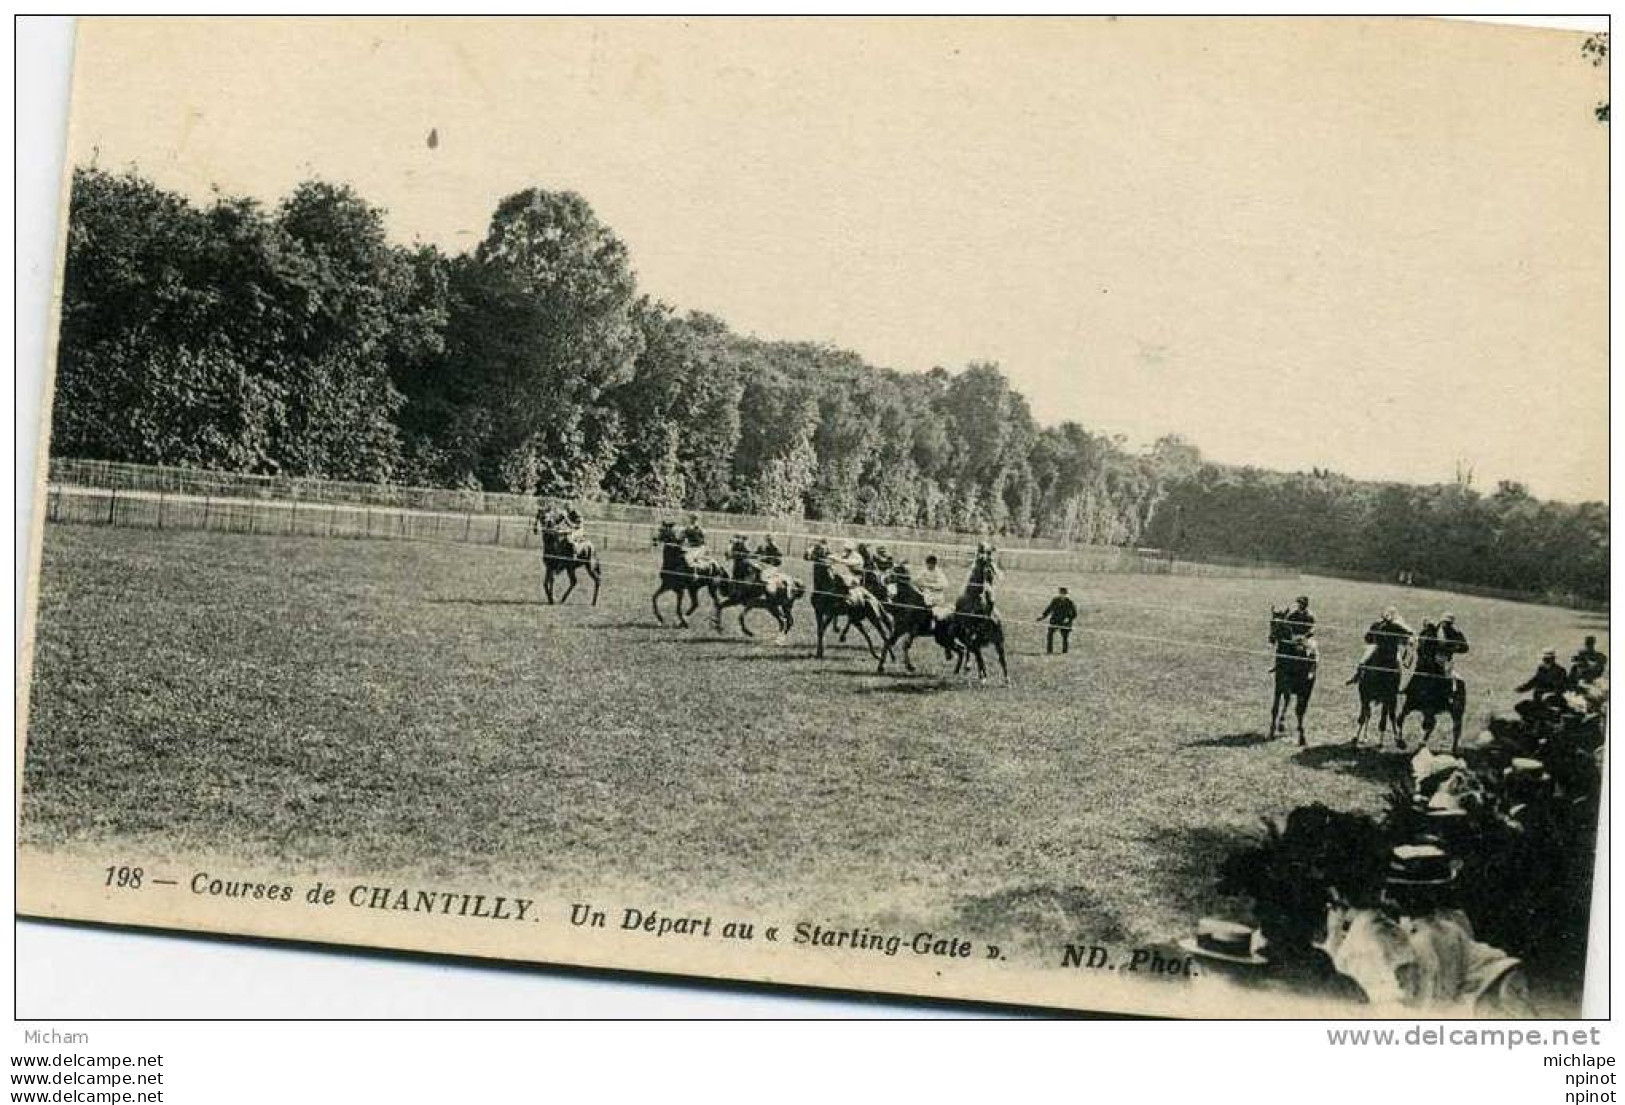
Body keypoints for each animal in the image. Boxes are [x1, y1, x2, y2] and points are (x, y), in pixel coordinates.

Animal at [1267, 607, 1319, 747]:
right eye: (1271, 622)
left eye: (1281, 623)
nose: (1271, 638)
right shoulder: (1280, 685)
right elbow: (1275, 707)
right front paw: (1272, 731)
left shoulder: (1302, 689)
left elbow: (1299, 710)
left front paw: (1302, 737)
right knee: (1289, 701)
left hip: (1306, 689)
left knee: (1301, 708)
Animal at [1391, 620, 1469, 750]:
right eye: (1421, 635)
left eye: (1432, 638)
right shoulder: (1410, 704)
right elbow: (1400, 718)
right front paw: (1401, 742)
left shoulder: (1429, 708)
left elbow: (1428, 724)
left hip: (1456, 711)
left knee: (1455, 728)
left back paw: (1453, 749)